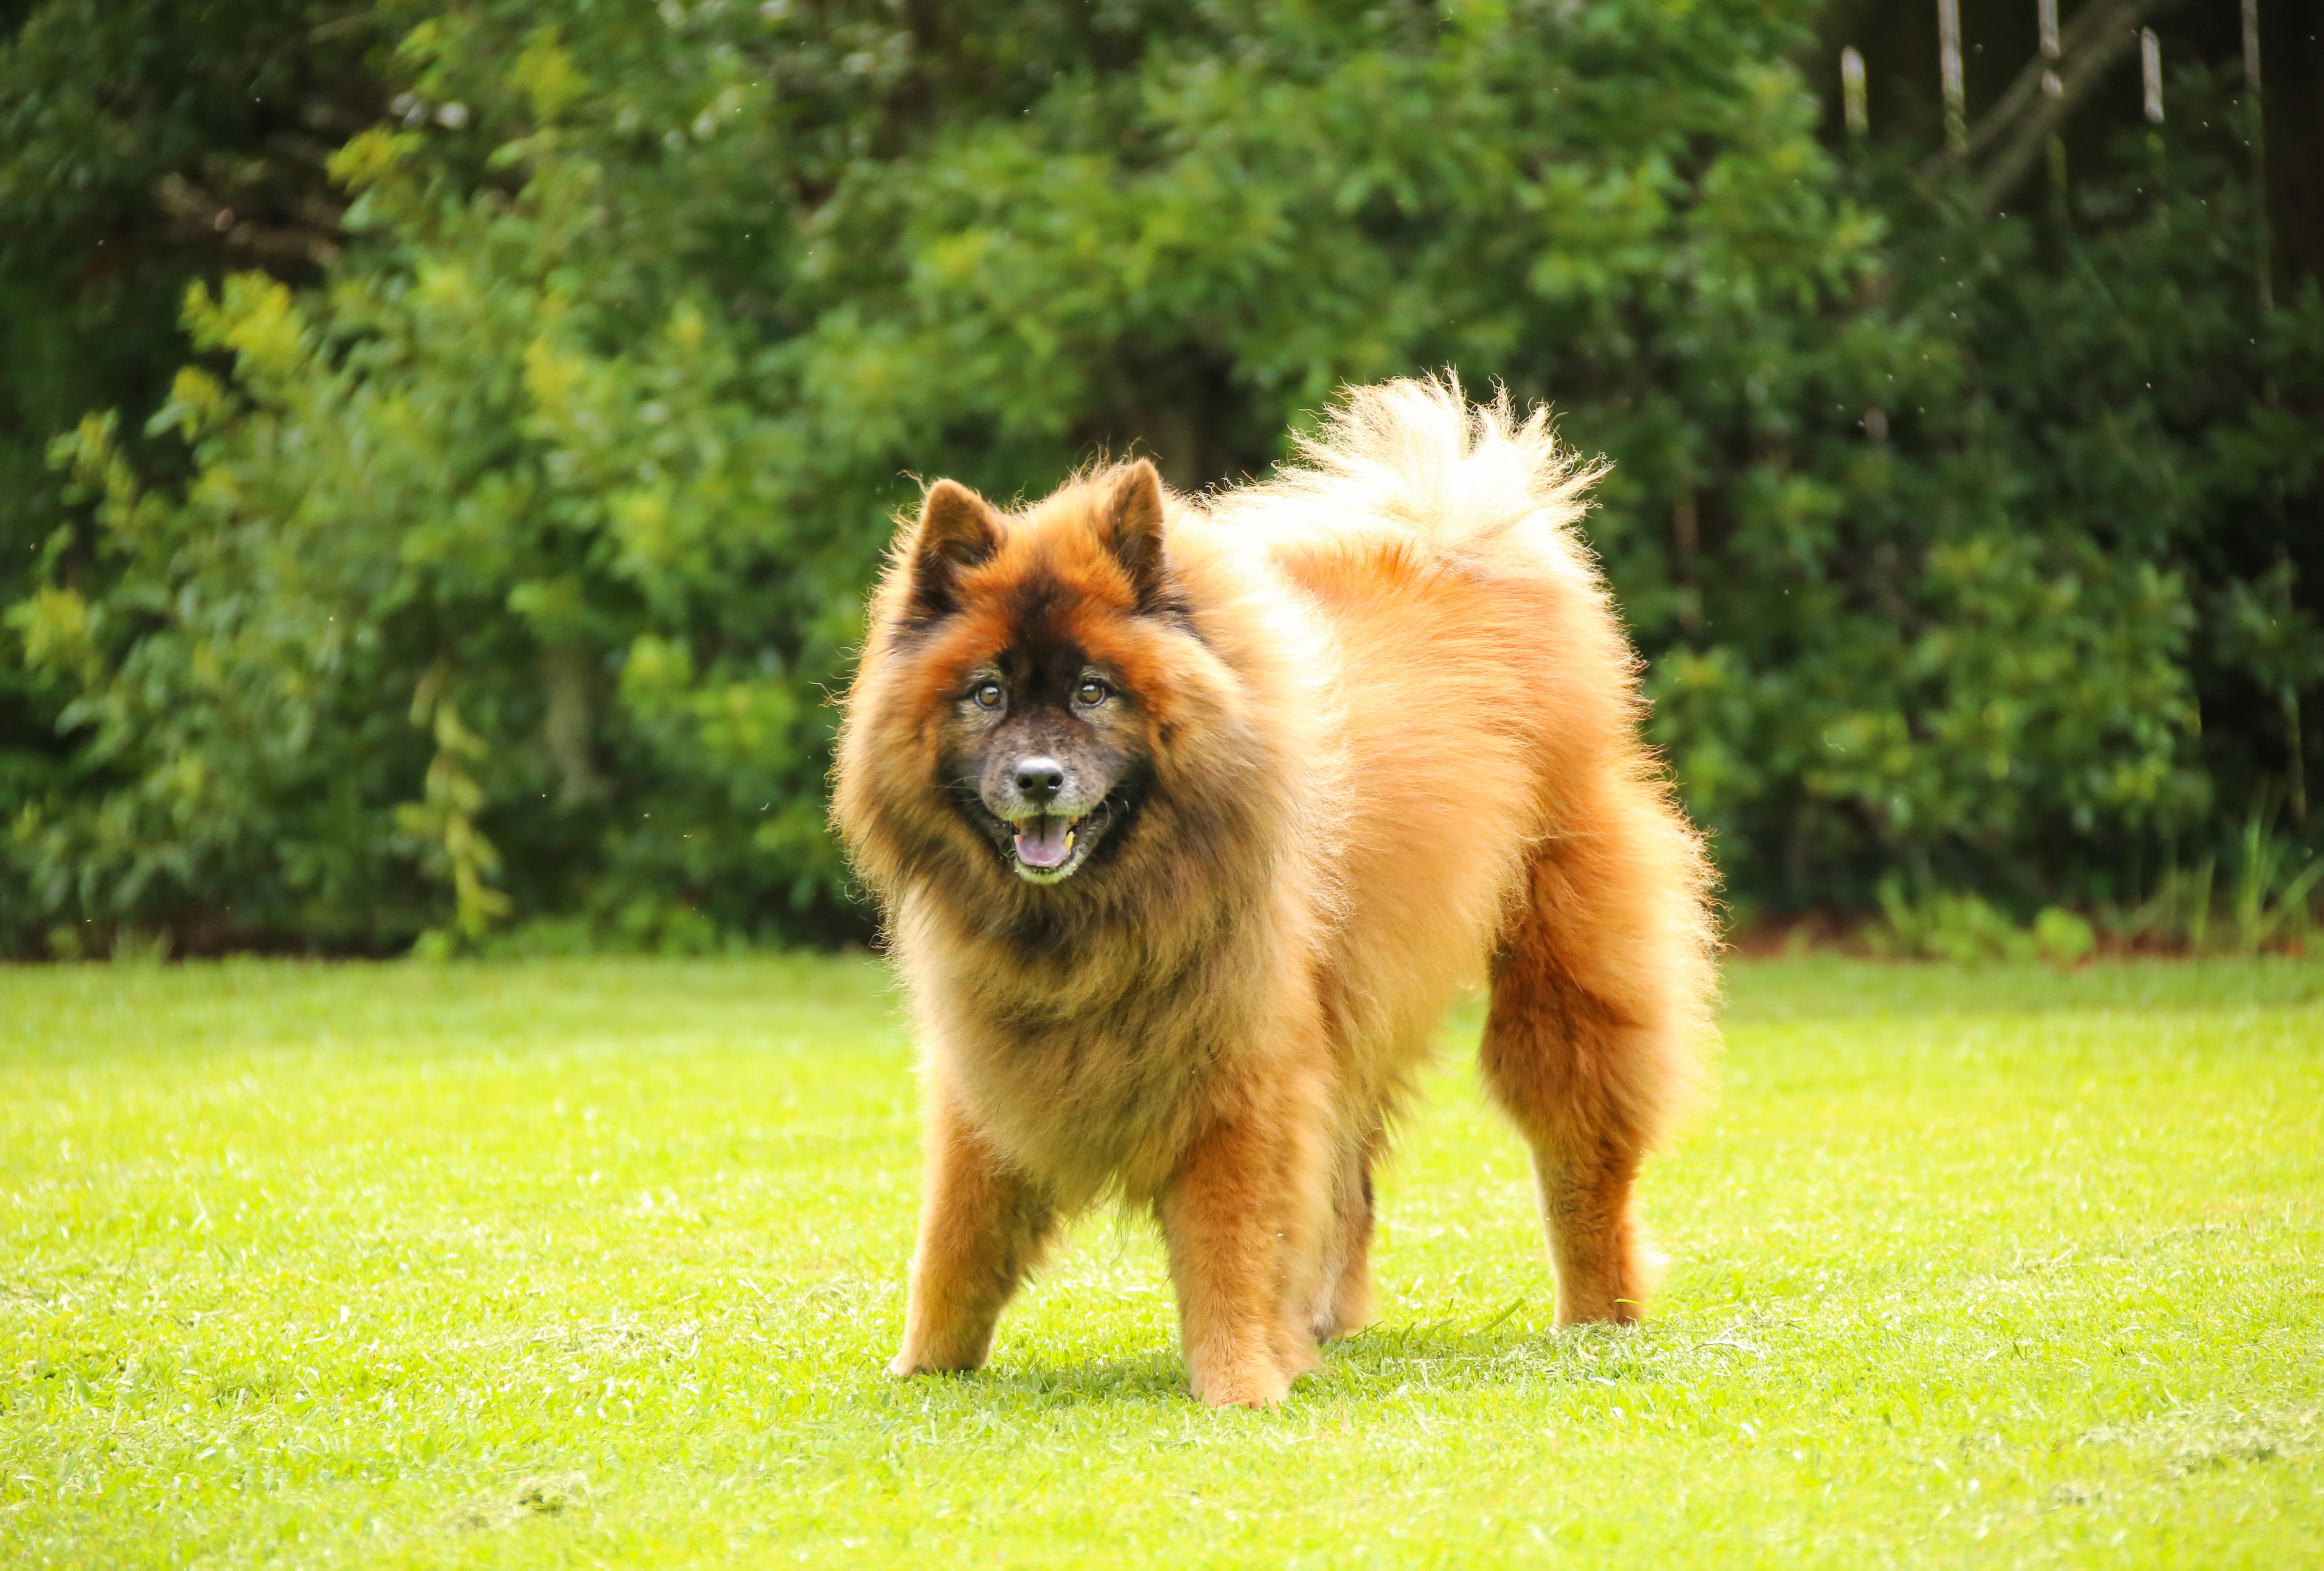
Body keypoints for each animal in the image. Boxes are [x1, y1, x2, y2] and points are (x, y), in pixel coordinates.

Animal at [832, 376, 1710, 1413]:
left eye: (1093, 692)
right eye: (986, 695)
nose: (1038, 778)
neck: (1104, 918)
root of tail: (1456, 541)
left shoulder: (1241, 1076)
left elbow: (1230, 1245)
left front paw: (1242, 1382)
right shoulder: (995, 1064)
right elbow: (957, 1236)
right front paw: (922, 1368)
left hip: (1555, 976)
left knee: (1579, 1157)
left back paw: (1596, 1317)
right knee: (1352, 1178)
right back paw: (1331, 1320)